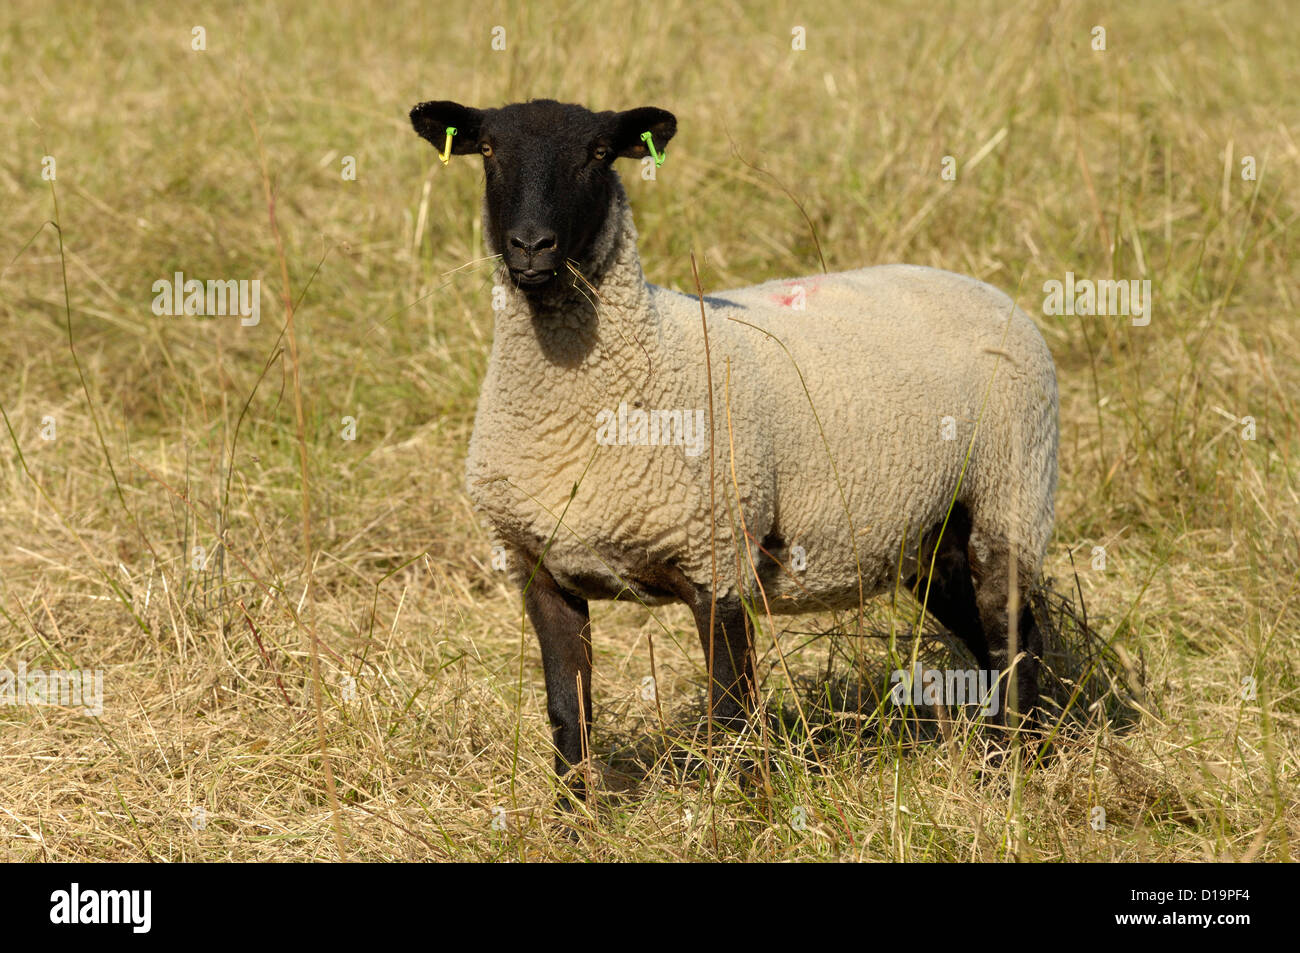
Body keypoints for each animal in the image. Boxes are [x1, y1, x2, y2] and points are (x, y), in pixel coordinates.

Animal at [411, 98, 1059, 802]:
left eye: (598, 153)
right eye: (489, 150)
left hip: (1011, 493)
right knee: (986, 635)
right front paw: (572, 817)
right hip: (931, 534)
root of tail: (984, 287)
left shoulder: (716, 556)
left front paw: (744, 809)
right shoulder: (539, 567)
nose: (532, 246)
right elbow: (567, 712)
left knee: (1013, 635)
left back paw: (1021, 768)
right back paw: (1004, 761)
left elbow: (731, 714)